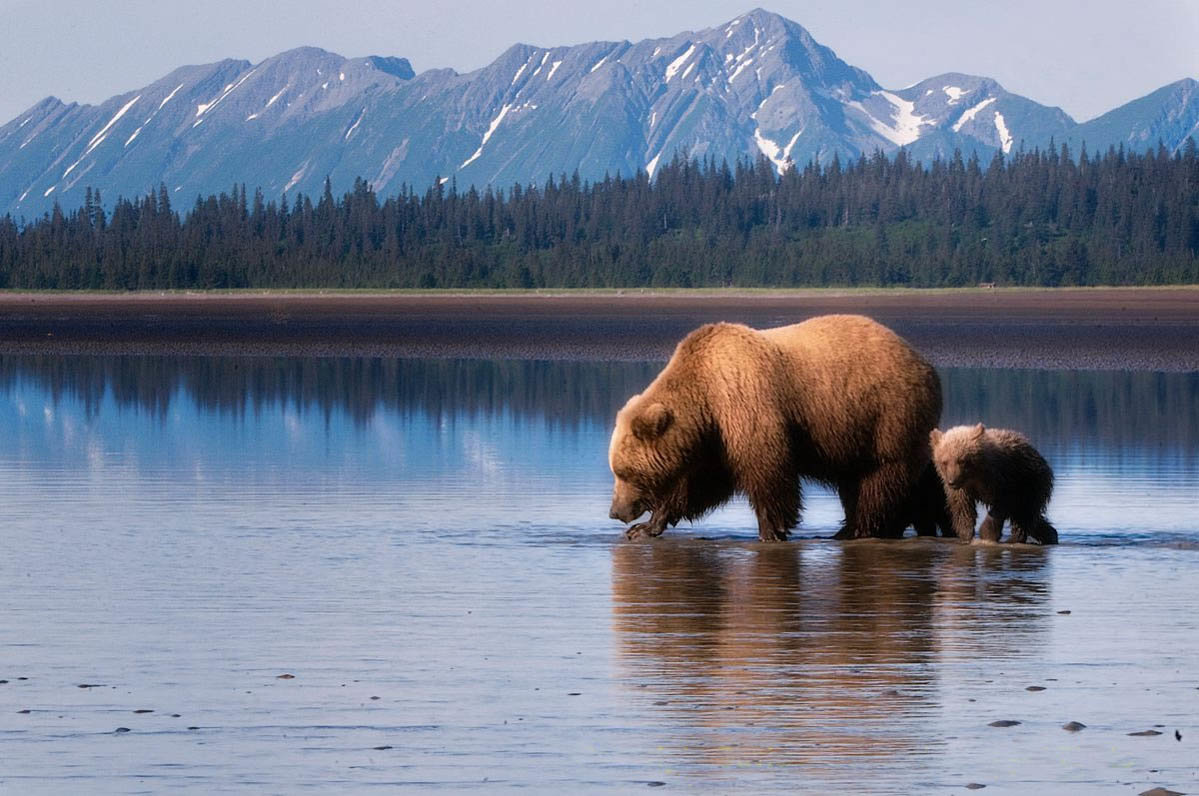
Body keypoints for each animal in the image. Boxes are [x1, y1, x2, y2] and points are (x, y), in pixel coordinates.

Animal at [609, 316, 944, 541]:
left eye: (626, 472)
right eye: (617, 470)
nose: (615, 511)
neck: (703, 394)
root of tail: (925, 363)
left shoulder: (746, 402)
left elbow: (767, 469)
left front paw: (772, 529)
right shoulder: (715, 435)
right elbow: (699, 483)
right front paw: (646, 526)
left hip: (886, 415)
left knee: (880, 477)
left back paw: (857, 529)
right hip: (857, 431)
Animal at [925, 421, 1059, 546]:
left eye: (961, 460)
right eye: (945, 462)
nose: (952, 481)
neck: (974, 474)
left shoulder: (1001, 477)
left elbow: (1001, 504)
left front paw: (987, 534)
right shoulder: (963, 489)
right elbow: (963, 508)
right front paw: (966, 536)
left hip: (1031, 481)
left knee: (1025, 513)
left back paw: (1015, 538)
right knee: (1031, 518)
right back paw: (1050, 534)